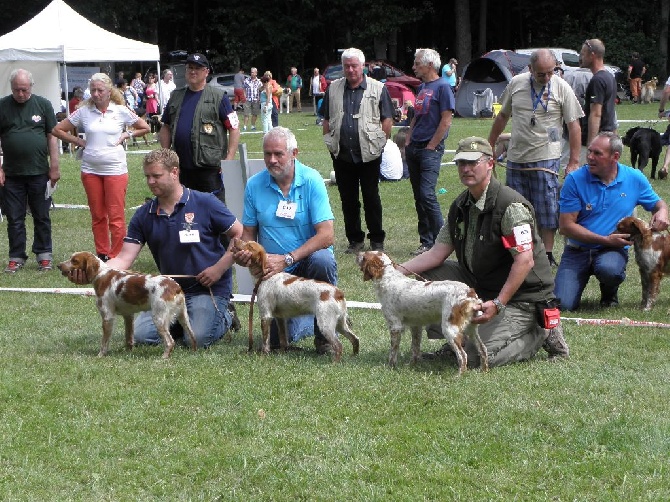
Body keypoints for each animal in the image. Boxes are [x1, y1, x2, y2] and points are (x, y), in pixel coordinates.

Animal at [58, 253, 197, 358]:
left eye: (74, 261)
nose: (59, 265)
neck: (100, 274)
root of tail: (175, 287)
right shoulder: (128, 315)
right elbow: (129, 337)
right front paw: (128, 352)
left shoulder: (107, 316)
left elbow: (104, 341)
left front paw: (100, 355)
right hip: (183, 316)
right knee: (193, 336)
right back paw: (193, 353)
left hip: (159, 318)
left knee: (170, 341)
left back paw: (164, 357)